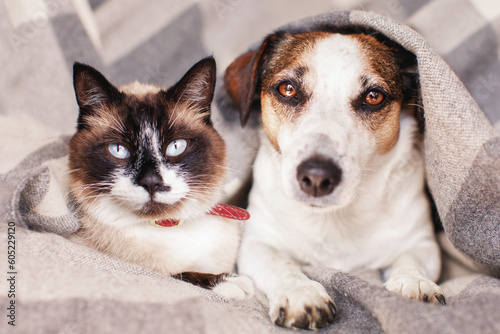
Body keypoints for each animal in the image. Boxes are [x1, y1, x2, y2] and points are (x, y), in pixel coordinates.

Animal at [68, 57, 252, 300]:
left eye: (176, 146)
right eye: (119, 150)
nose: (151, 182)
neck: (170, 225)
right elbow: (180, 274)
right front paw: (231, 282)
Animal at [225, 30, 444, 328]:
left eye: (374, 96)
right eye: (287, 89)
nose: (317, 176)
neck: (334, 219)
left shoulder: (422, 242)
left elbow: (411, 258)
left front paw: (412, 284)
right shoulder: (257, 242)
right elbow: (280, 264)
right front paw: (301, 292)